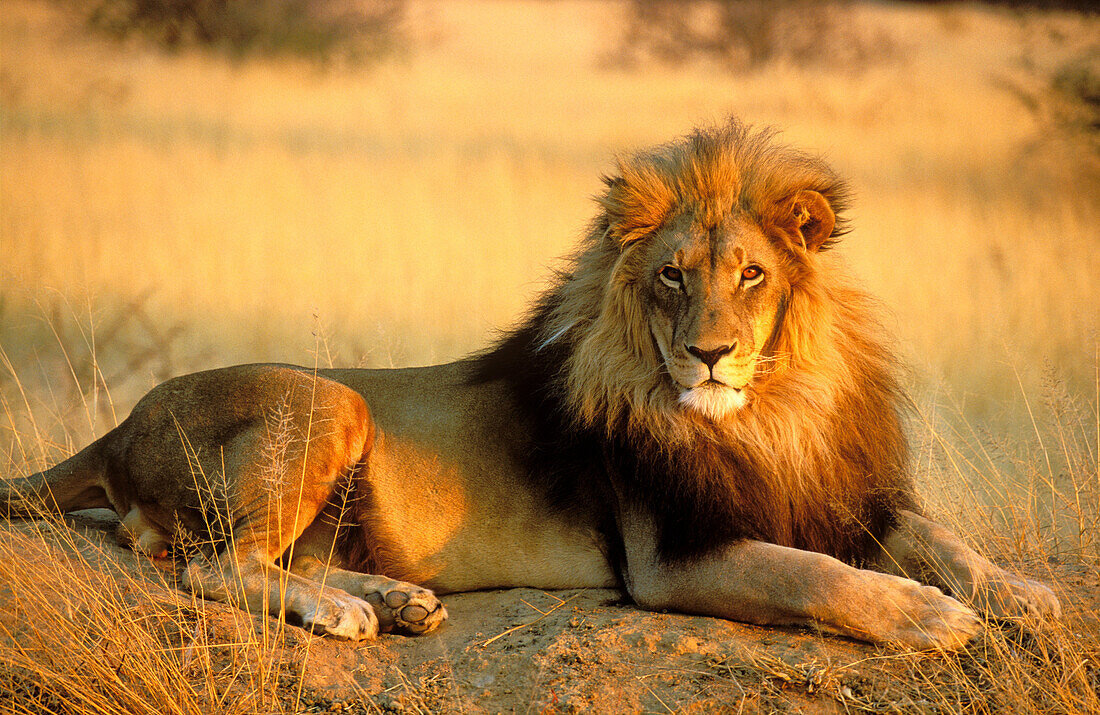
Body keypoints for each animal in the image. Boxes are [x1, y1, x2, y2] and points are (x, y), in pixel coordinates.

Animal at [4, 118, 1060, 646]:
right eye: (672, 275)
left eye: (752, 274)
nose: (709, 354)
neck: (771, 410)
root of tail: (119, 425)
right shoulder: (675, 554)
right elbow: (818, 574)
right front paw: (931, 616)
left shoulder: (838, 494)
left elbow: (938, 536)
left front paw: (1021, 592)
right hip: (331, 398)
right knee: (214, 565)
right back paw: (346, 610)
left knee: (260, 556)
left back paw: (396, 599)